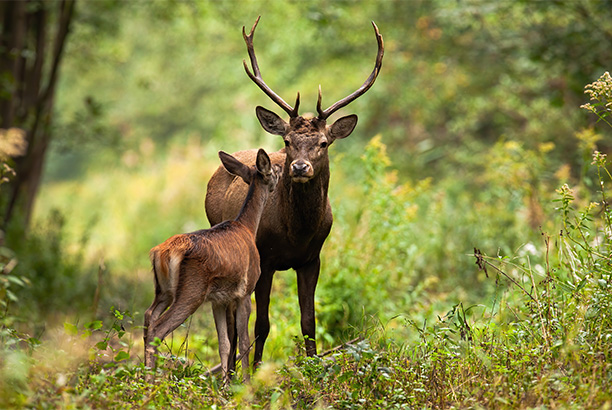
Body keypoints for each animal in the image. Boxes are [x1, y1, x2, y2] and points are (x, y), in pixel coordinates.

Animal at [143, 149, 278, 382]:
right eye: (274, 171)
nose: (279, 176)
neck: (248, 227)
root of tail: (162, 252)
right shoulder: (245, 290)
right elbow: (244, 342)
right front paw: (246, 383)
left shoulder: (218, 300)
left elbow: (224, 343)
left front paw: (225, 384)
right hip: (191, 291)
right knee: (158, 329)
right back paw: (150, 383)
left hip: (163, 290)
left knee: (148, 316)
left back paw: (143, 376)